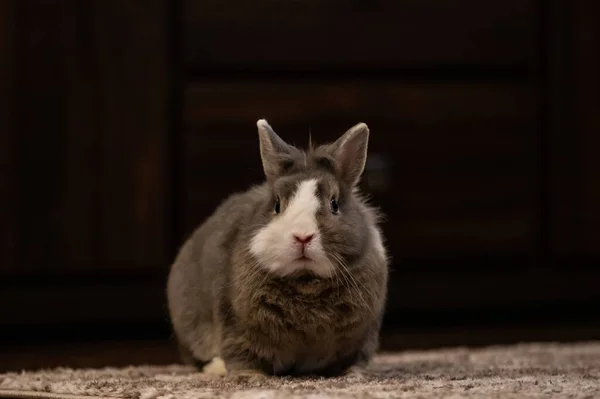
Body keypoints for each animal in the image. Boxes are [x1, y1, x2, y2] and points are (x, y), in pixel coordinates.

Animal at [165, 120, 390, 380]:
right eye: (277, 204)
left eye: (334, 204)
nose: (302, 236)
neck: (306, 281)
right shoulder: (235, 325)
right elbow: (241, 354)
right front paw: (251, 376)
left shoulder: (360, 338)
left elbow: (353, 359)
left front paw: (353, 375)